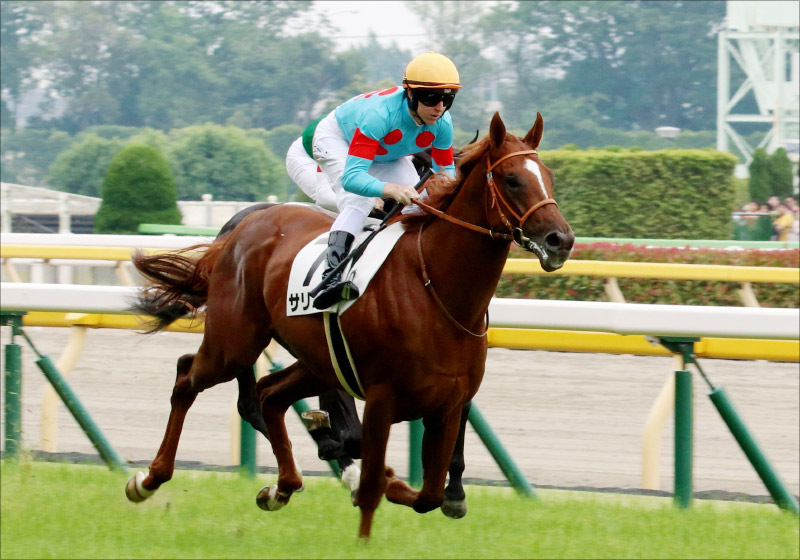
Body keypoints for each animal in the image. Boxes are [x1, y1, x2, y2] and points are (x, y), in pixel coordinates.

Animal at [124, 112, 574, 539]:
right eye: (512, 179)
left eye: (549, 177)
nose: (561, 240)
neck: (437, 288)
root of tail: (238, 231)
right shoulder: (378, 393)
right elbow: (373, 465)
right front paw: (367, 486)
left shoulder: (448, 398)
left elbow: (430, 489)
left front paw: (438, 493)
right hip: (234, 343)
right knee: (191, 377)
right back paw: (148, 480)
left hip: (313, 362)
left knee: (267, 395)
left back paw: (281, 486)